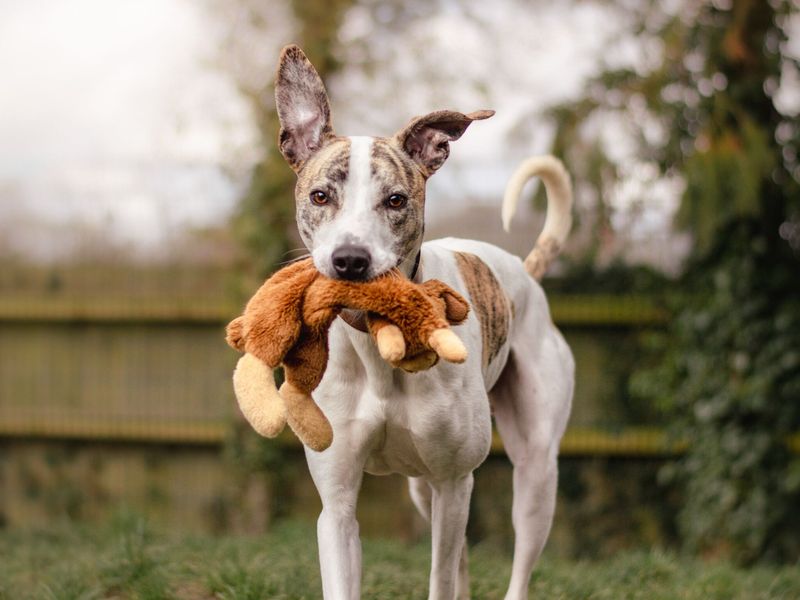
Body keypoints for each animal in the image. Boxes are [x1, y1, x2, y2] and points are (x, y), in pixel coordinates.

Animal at [272, 45, 572, 600]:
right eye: (321, 196)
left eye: (396, 200)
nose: (350, 261)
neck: (377, 345)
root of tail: (525, 271)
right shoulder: (338, 504)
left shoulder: (455, 481)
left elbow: (441, 577)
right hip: (421, 490)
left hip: (534, 472)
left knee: (513, 558)